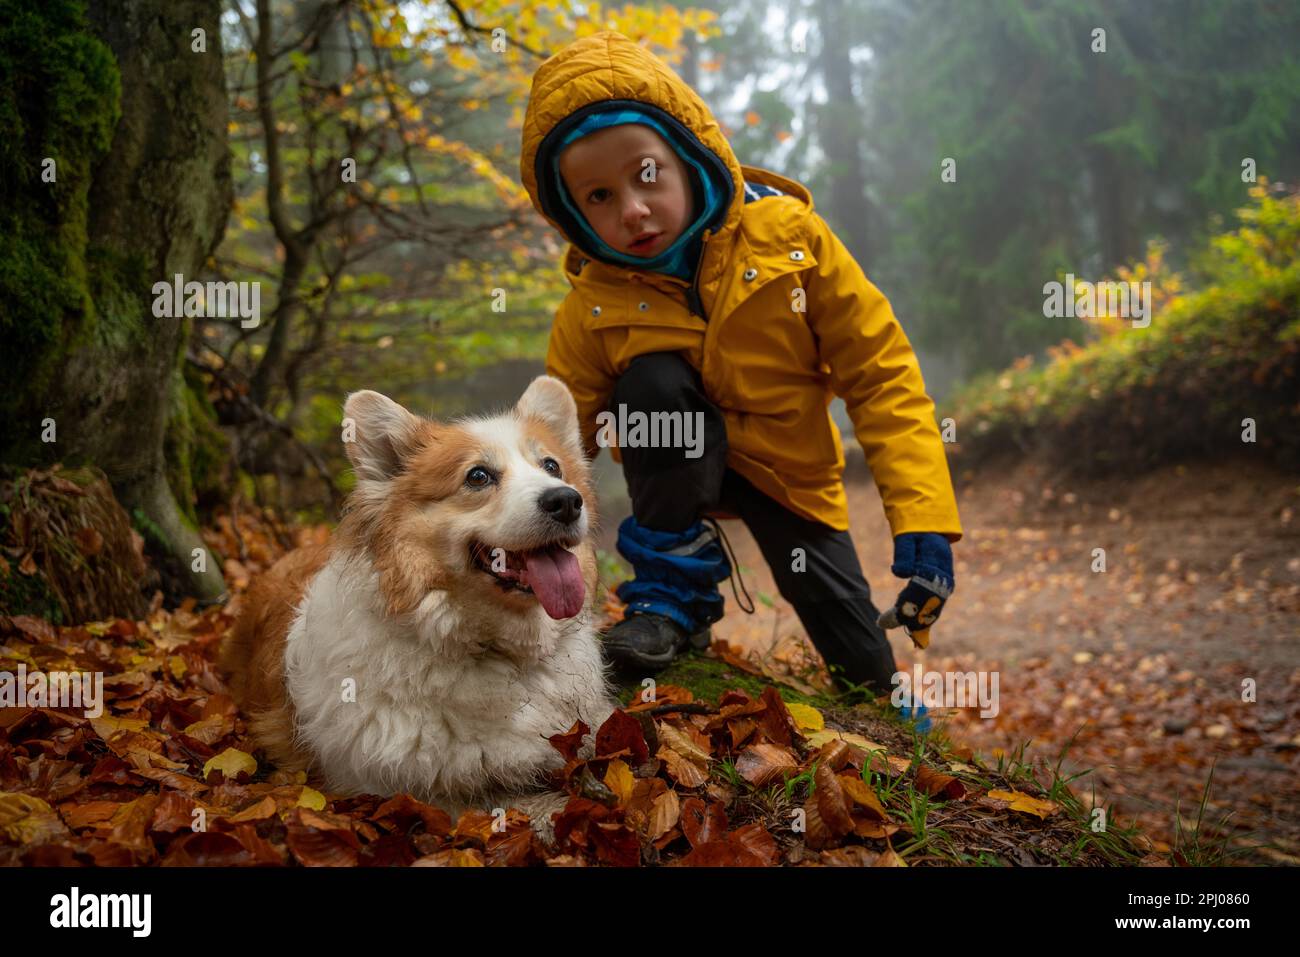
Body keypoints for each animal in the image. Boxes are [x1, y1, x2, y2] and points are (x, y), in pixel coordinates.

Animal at [222, 377, 618, 832]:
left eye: (552, 467)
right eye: (478, 476)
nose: (567, 501)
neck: (494, 651)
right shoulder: (398, 790)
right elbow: (512, 802)